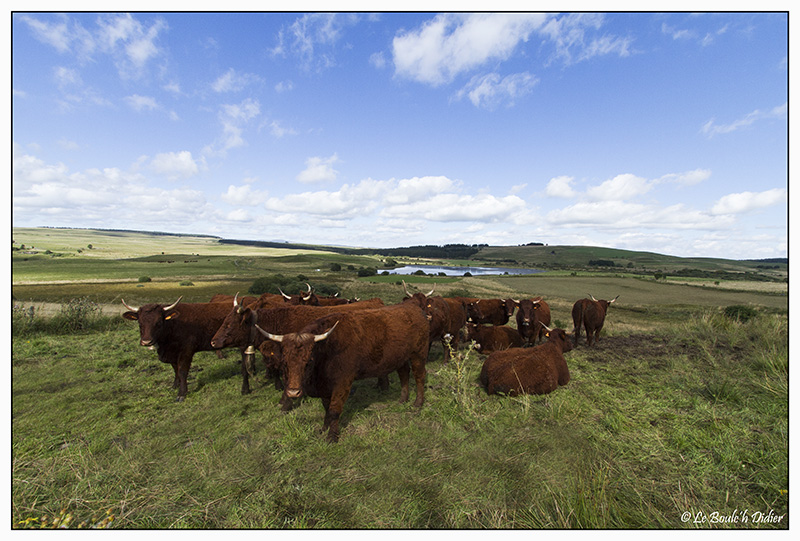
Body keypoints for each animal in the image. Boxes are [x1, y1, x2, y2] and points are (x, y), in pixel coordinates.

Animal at [256, 302, 432, 440]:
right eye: (284, 361)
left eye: (309, 361)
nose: (293, 392)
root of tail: (414, 308)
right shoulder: (325, 387)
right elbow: (327, 408)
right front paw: (324, 428)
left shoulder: (343, 382)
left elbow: (334, 410)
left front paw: (332, 436)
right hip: (401, 357)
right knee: (404, 374)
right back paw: (403, 399)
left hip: (418, 353)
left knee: (419, 376)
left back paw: (418, 402)